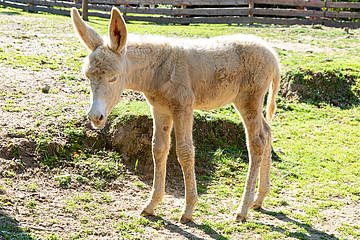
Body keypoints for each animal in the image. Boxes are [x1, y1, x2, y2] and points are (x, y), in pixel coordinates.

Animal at [71, 6, 282, 222]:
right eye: (87, 76)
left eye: (113, 78)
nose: (95, 117)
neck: (157, 72)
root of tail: (273, 56)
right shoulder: (160, 108)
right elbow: (158, 149)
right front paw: (151, 205)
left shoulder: (183, 107)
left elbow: (185, 152)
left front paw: (188, 210)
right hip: (247, 102)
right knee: (267, 132)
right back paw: (260, 198)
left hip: (249, 99)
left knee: (257, 142)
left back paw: (243, 208)